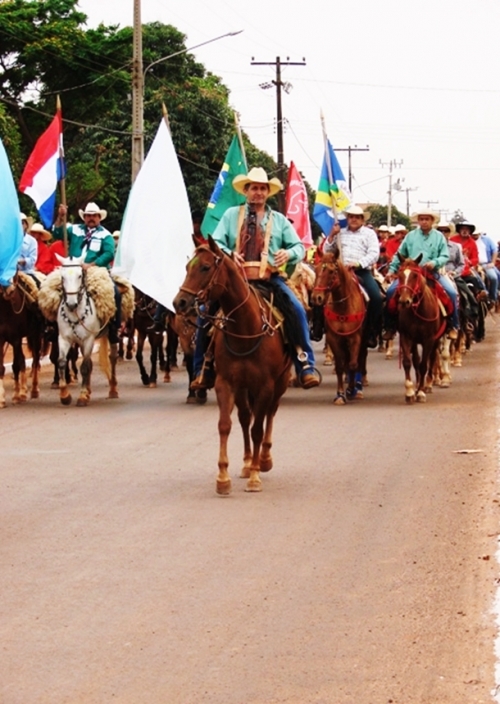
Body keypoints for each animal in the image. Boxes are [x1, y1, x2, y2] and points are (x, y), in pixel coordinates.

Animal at [0, 276, 44, 408]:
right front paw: (2, 399)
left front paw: (15, 396)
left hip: (35, 335)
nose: (9, 290)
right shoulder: (1, 339)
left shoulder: (16, 339)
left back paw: (34, 390)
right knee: (24, 360)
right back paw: (23, 391)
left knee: (35, 359)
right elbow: (2, 367)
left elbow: (15, 366)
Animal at [56, 256, 118, 404]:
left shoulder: (89, 339)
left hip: (112, 333)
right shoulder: (63, 338)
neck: (75, 313)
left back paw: (113, 389)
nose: (71, 304)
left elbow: (84, 366)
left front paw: (82, 396)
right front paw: (65, 395)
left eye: (80, 275)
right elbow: (61, 362)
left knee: (112, 357)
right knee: (89, 362)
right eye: (62, 276)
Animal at [172, 238, 292, 496]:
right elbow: (225, 425)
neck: (245, 330)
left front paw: (255, 476)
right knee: (245, 417)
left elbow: (258, 429)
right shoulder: (225, 383)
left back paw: (264, 459)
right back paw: (247, 463)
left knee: (269, 414)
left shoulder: (266, 386)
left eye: (206, 267)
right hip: (243, 387)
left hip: (280, 383)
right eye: (187, 267)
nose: (179, 302)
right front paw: (223, 477)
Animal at [312, 250, 368, 404]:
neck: (343, 307)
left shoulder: (355, 337)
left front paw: (351, 390)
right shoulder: (334, 338)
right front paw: (340, 395)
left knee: (361, 359)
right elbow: (340, 366)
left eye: (331, 271)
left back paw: (359, 387)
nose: (316, 297)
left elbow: (354, 364)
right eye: (316, 269)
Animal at [390, 256, 446, 404]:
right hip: (415, 341)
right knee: (416, 360)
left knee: (432, 358)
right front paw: (410, 392)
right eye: (399, 275)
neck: (417, 310)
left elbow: (424, 365)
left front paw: (421, 392)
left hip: (436, 340)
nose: (404, 301)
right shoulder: (406, 336)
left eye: (415, 275)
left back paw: (428, 384)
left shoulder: (429, 339)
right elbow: (408, 362)